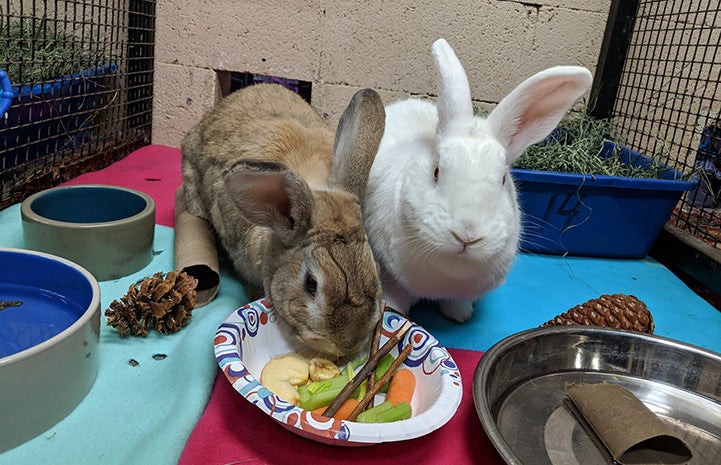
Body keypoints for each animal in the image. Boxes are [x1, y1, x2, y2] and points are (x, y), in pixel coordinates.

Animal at [362, 38, 592, 320]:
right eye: (436, 171)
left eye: (503, 179)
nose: (467, 235)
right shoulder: (392, 277)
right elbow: (396, 298)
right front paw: (394, 312)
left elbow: (457, 303)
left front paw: (461, 316)